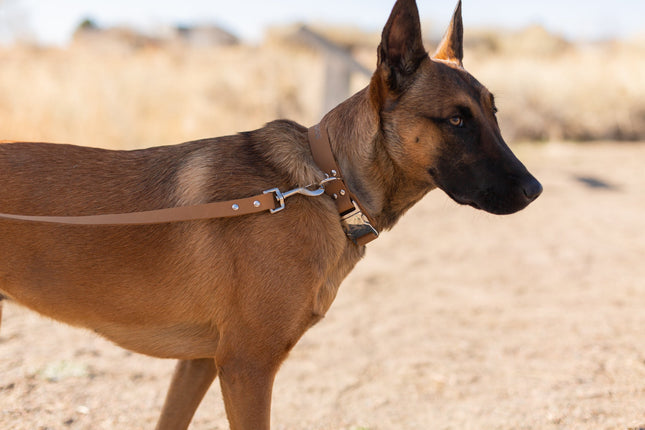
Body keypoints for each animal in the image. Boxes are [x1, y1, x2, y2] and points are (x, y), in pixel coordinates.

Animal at [0, 1, 540, 428]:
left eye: (493, 113)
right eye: (457, 120)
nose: (535, 190)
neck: (327, 186)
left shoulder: (201, 362)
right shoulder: (246, 367)